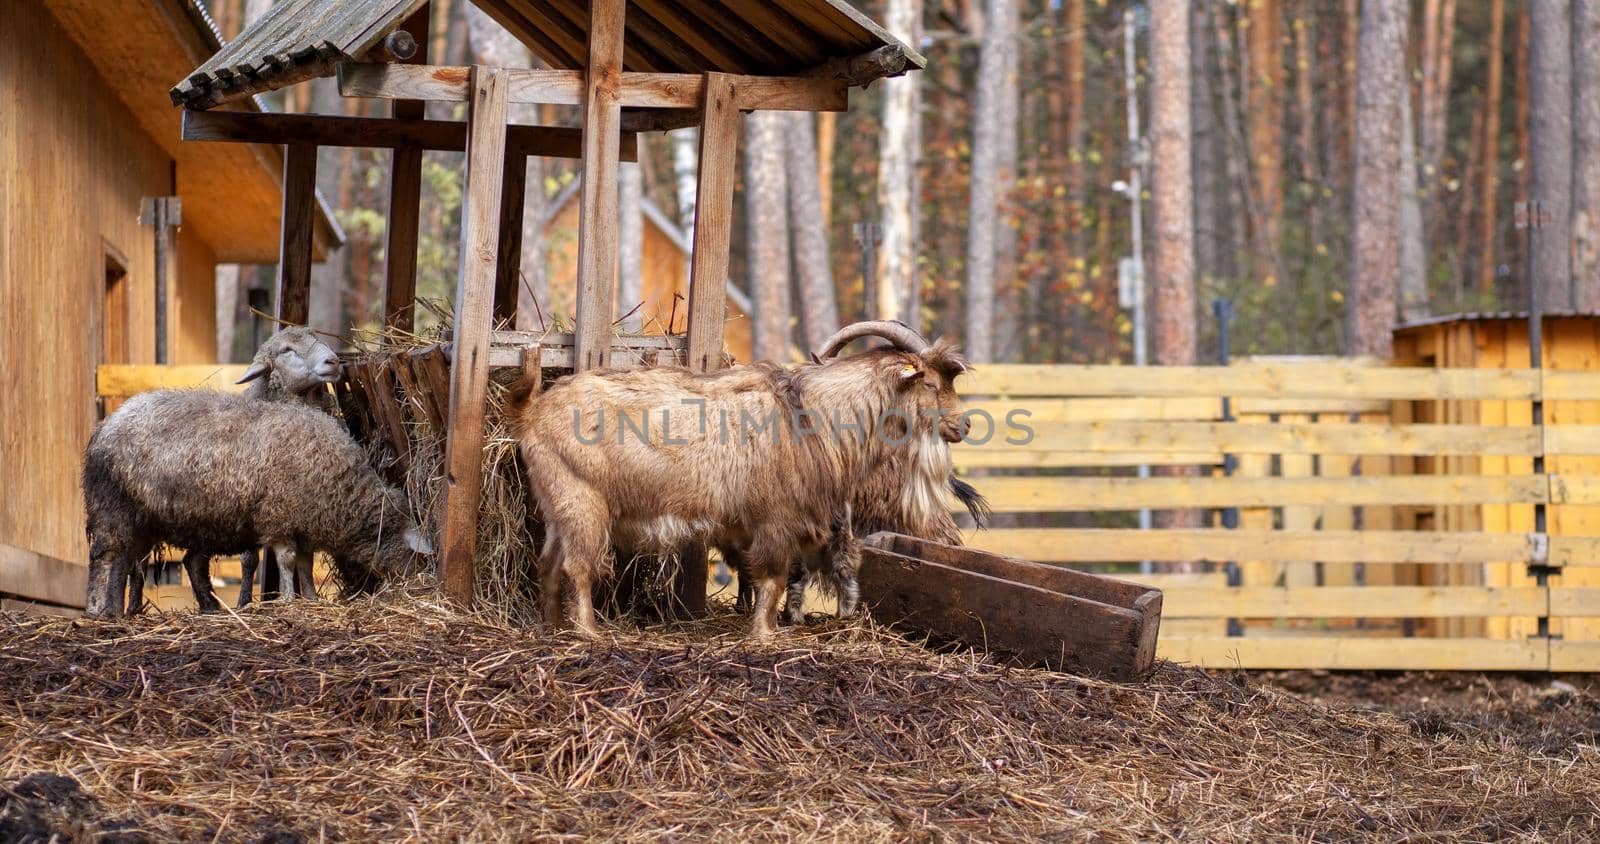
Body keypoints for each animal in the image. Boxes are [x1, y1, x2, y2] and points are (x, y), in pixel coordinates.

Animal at [512, 319, 966, 636]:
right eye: (928, 381)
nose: (963, 426)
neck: (814, 414)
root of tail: (533, 412)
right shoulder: (777, 520)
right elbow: (773, 578)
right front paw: (764, 634)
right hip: (582, 501)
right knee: (577, 566)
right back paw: (589, 632)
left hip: (557, 505)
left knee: (548, 564)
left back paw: (551, 628)